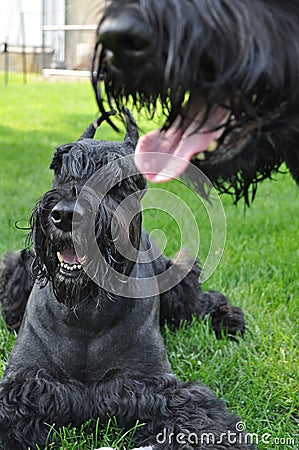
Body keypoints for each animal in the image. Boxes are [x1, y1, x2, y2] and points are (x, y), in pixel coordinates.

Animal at [0, 110, 252, 450]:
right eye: (60, 166)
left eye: (120, 178)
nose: (65, 215)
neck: (87, 311)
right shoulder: (27, 380)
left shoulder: (148, 383)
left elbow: (198, 418)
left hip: (178, 283)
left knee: (203, 301)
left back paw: (229, 320)